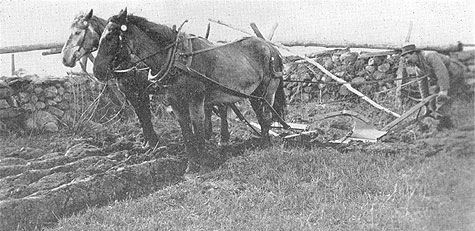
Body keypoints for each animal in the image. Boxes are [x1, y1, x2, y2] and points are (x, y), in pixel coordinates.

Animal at [93, 8, 286, 172]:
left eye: (109, 36)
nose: (97, 71)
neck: (177, 58)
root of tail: (270, 47)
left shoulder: (196, 101)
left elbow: (198, 130)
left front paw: (204, 164)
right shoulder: (175, 102)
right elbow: (186, 133)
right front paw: (191, 166)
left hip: (268, 91)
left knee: (267, 117)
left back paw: (266, 145)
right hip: (254, 95)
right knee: (260, 116)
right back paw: (262, 143)